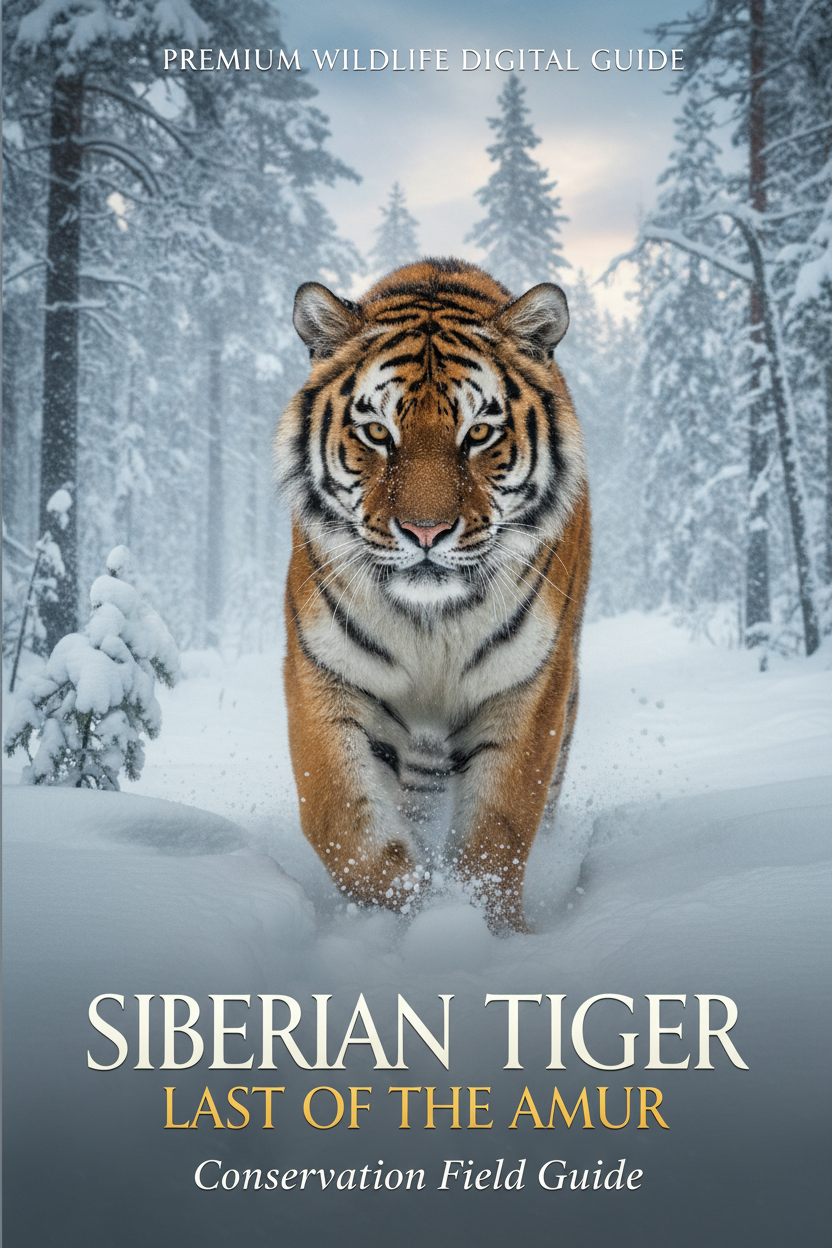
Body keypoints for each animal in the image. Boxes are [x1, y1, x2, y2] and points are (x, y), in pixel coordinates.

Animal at [275, 259, 590, 932]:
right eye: (376, 432)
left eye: (479, 433)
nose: (425, 532)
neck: (430, 621)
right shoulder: (325, 673)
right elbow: (343, 823)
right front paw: (417, 909)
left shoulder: (527, 686)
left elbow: (498, 831)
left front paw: (485, 925)